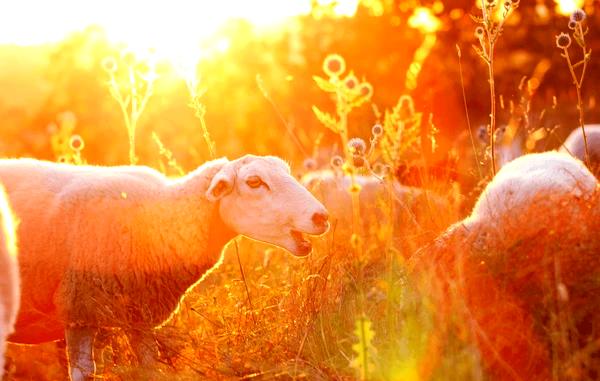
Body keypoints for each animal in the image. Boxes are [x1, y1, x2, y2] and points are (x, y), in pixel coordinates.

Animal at [1, 154, 328, 380]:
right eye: (254, 182)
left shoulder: (139, 315)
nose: (321, 217)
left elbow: (150, 367)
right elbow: (83, 372)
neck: (161, 216)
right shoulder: (80, 308)